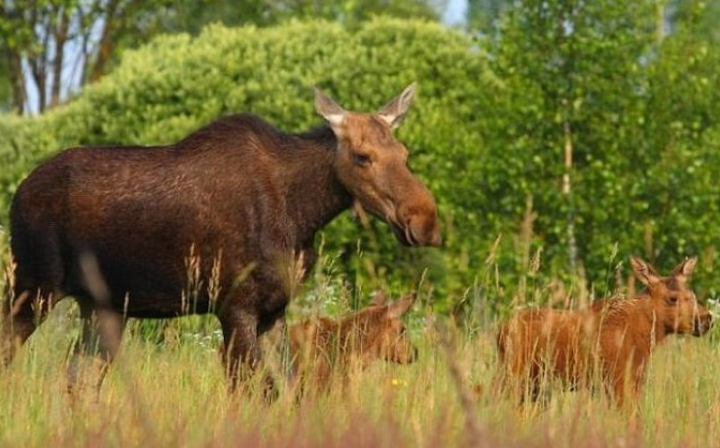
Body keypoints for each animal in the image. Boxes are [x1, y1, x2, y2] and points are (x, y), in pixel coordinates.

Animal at [0, 82, 442, 394]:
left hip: (101, 306)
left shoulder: (274, 310)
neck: (302, 214)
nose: (425, 220)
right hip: (33, 288)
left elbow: (289, 389)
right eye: (362, 156)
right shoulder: (235, 306)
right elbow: (255, 391)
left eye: (404, 153)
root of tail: (18, 193)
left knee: (79, 378)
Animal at [498, 256, 712, 406]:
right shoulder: (618, 379)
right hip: (513, 373)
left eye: (691, 293)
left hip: (533, 383)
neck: (645, 334)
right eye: (673, 298)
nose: (706, 319)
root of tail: (501, 330)